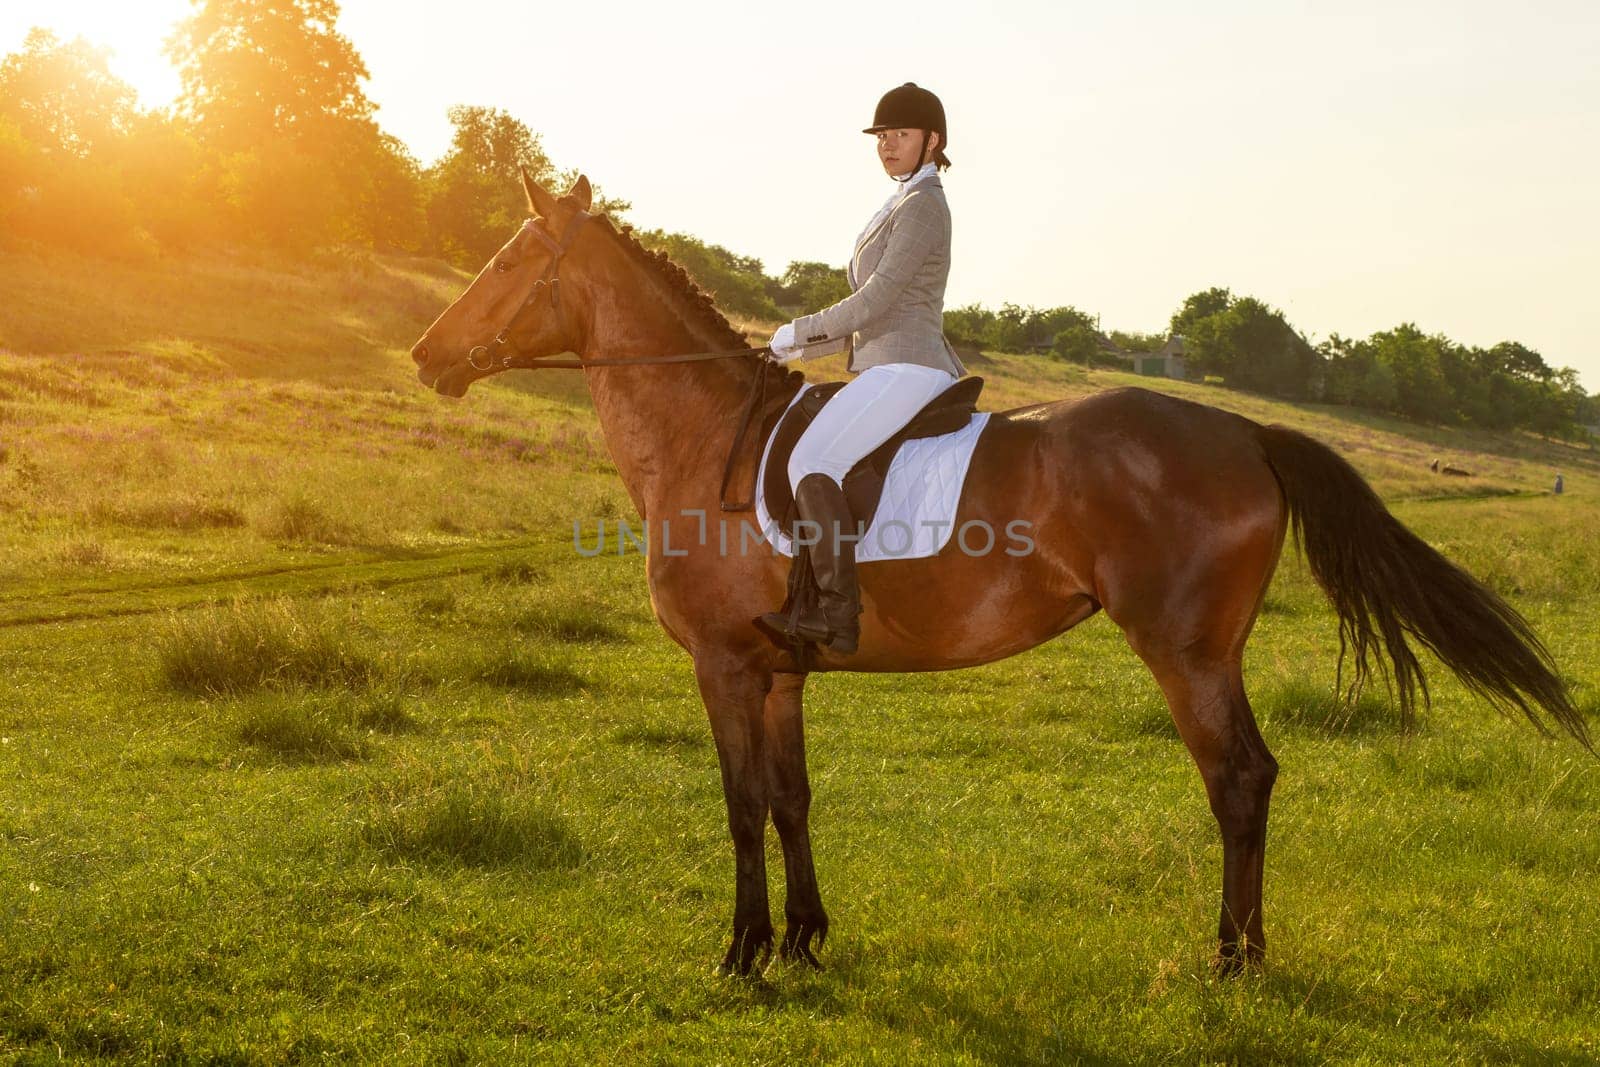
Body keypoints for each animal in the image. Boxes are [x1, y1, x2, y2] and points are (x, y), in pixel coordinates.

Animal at [409, 173, 1587, 979]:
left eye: (507, 262)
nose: (426, 356)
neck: (705, 437)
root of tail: (1244, 430)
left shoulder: (722, 665)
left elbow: (741, 805)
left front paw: (742, 951)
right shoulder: (779, 671)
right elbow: (790, 798)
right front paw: (805, 938)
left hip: (1184, 648)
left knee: (1238, 779)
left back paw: (1228, 957)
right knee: (1248, 777)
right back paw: (1242, 950)